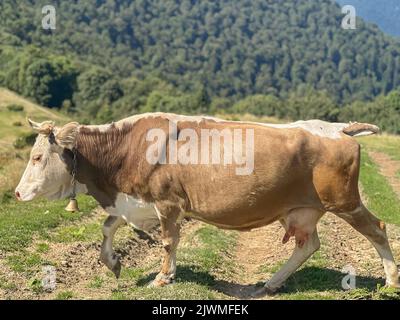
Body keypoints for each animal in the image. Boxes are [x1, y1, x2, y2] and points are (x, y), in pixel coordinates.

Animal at [14, 113, 398, 298]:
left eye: (37, 157)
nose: (17, 194)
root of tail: (338, 128)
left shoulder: (167, 201)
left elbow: (169, 241)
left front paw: (163, 278)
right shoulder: (133, 201)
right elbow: (107, 226)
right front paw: (113, 262)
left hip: (344, 200)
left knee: (378, 230)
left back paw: (391, 281)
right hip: (300, 209)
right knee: (308, 245)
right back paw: (269, 285)